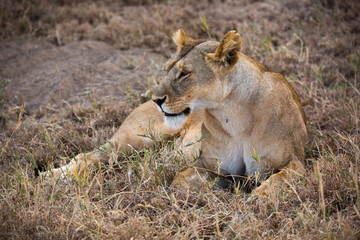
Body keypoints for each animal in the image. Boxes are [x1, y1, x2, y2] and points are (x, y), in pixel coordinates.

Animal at [42, 29, 306, 199]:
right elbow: (180, 183)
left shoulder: (296, 160)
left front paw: (260, 196)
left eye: (184, 73)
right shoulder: (206, 165)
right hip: (137, 138)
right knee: (90, 155)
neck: (233, 115)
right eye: (167, 68)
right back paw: (54, 176)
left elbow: (283, 179)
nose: (156, 99)